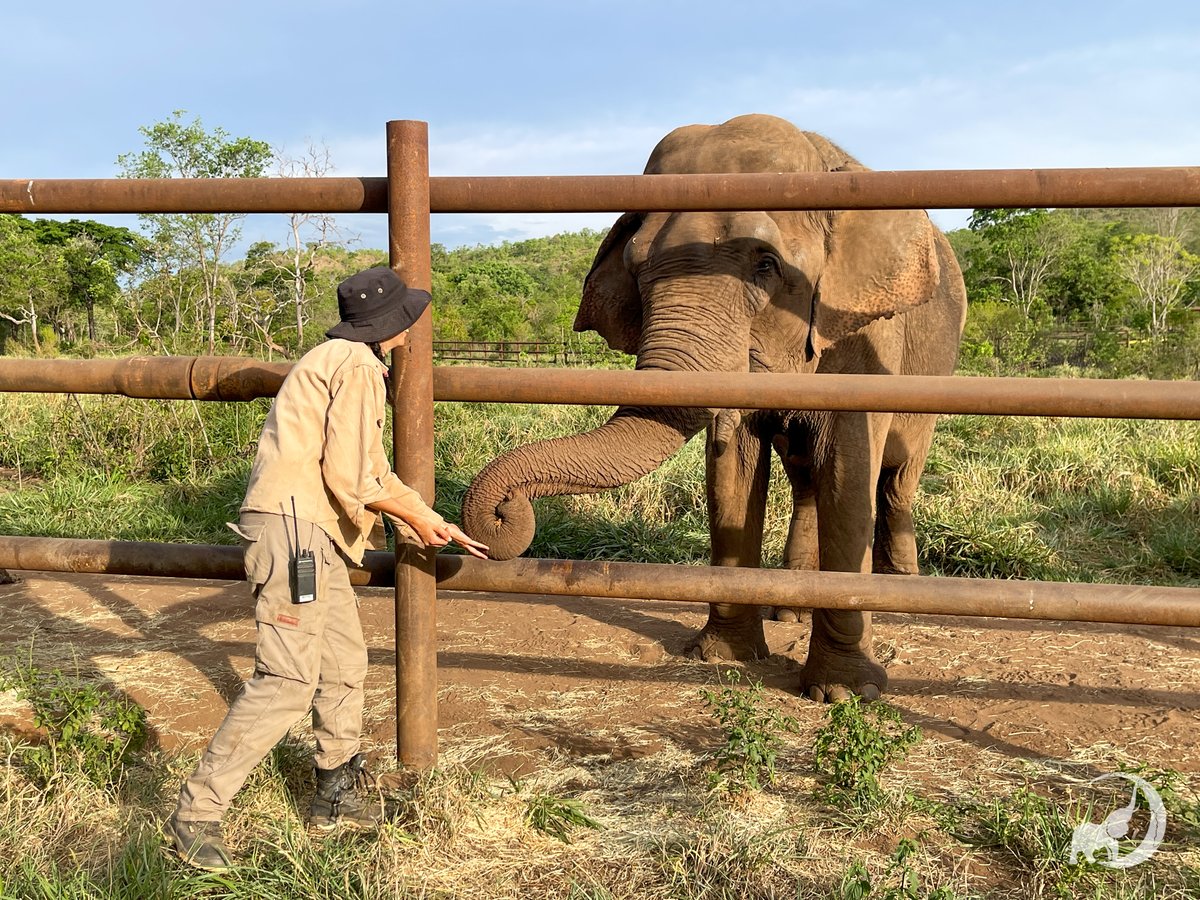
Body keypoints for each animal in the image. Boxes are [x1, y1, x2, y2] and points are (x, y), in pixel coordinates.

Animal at [462, 114, 967, 701]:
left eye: (766, 265)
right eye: (636, 267)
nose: (503, 512)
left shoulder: (868, 337)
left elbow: (848, 468)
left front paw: (842, 692)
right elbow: (733, 470)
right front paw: (723, 658)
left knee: (896, 477)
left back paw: (900, 596)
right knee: (806, 481)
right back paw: (790, 612)